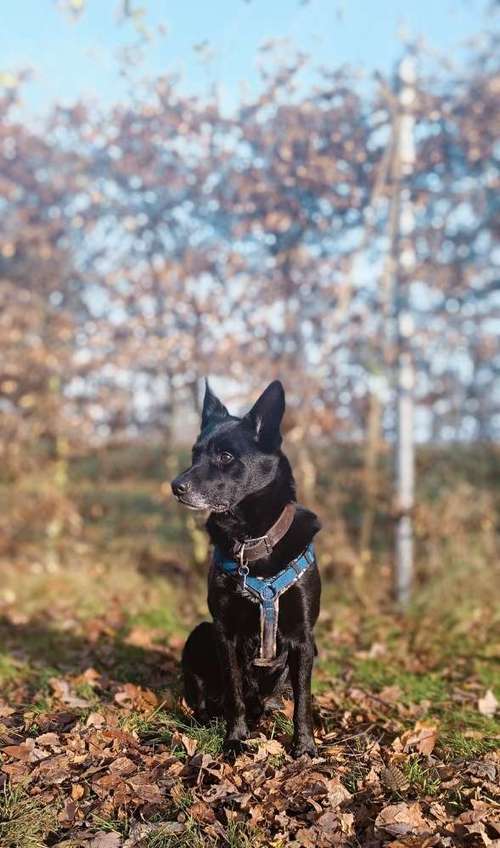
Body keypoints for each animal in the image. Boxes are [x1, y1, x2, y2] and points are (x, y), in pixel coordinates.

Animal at [172, 380, 320, 760]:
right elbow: (234, 692)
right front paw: (235, 739)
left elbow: (303, 700)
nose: (176, 486)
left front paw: (305, 746)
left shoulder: (303, 638)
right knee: (207, 700)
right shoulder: (225, 633)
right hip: (200, 633)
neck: (251, 541)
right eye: (194, 454)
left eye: (225, 456)